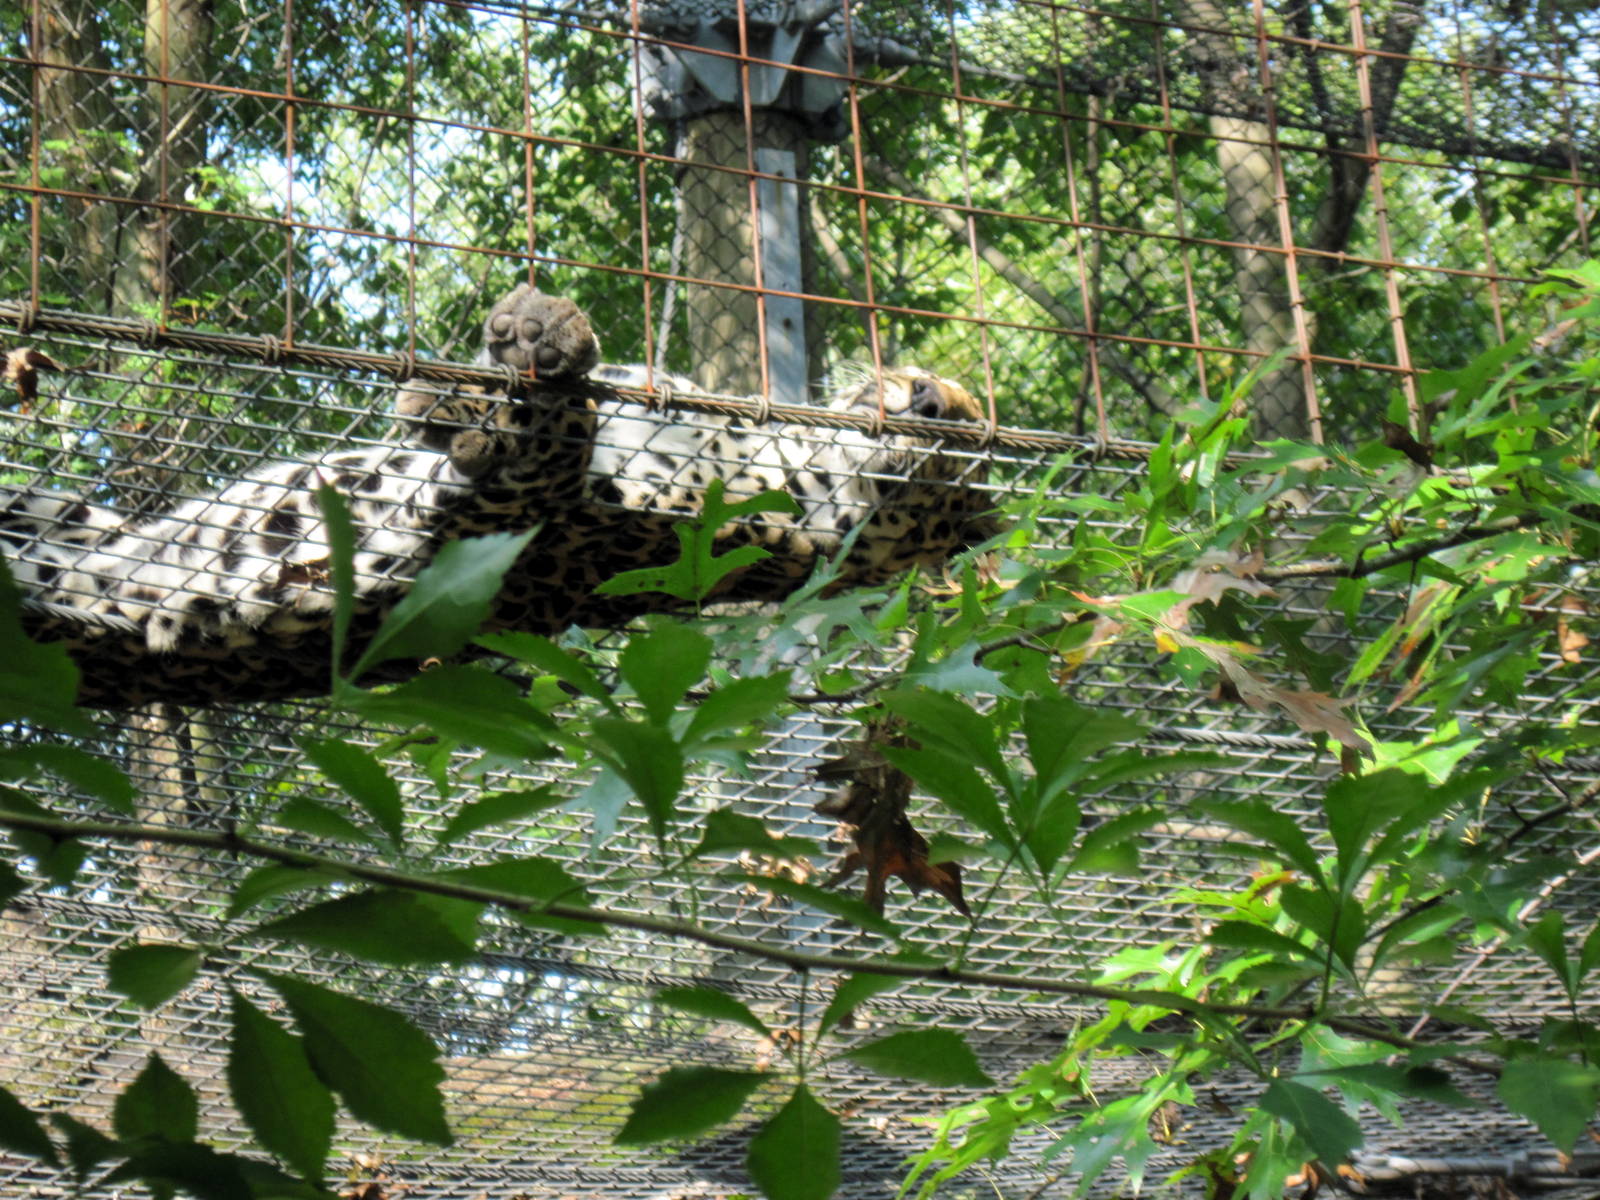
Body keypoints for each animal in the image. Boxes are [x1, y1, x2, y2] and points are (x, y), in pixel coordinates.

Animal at [0, 283, 996, 706]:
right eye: (947, 402)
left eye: (955, 462)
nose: (926, 402)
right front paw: (479, 374)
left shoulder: (532, 533)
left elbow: (541, 455)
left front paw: (537, 350)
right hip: (58, 520)